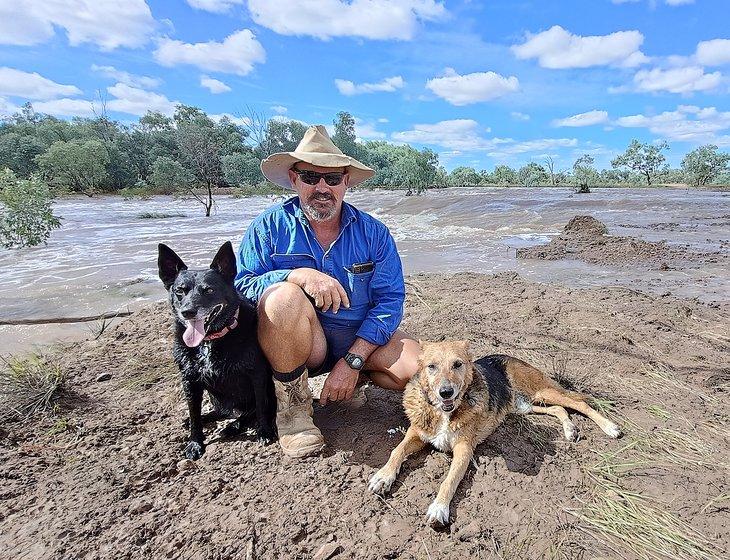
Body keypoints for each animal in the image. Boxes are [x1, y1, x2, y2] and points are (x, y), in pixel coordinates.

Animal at [157, 241, 276, 460]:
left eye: (209, 290)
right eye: (180, 291)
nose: (187, 312)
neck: (209, 341)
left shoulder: (257, 375)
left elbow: (261, 407)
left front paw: (264, 432)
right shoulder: (189, 380)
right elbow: (193, 413)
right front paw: (195, 442)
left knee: (250, 412)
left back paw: (233, 426)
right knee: (219, 412)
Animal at [370, 340, 620, 528]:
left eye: (457, 364)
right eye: (431, 366)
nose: (445, 392)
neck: (444, 412)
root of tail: (510, 356)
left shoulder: (464, 449)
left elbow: (448, 481)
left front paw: (439, 508)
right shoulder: (417, 432)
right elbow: (396, 451)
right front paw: (383, 477)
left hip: (541, 392)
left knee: (579, 403)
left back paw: (609, 427)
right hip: (524, 406)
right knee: (559, 409)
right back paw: (570, 430)